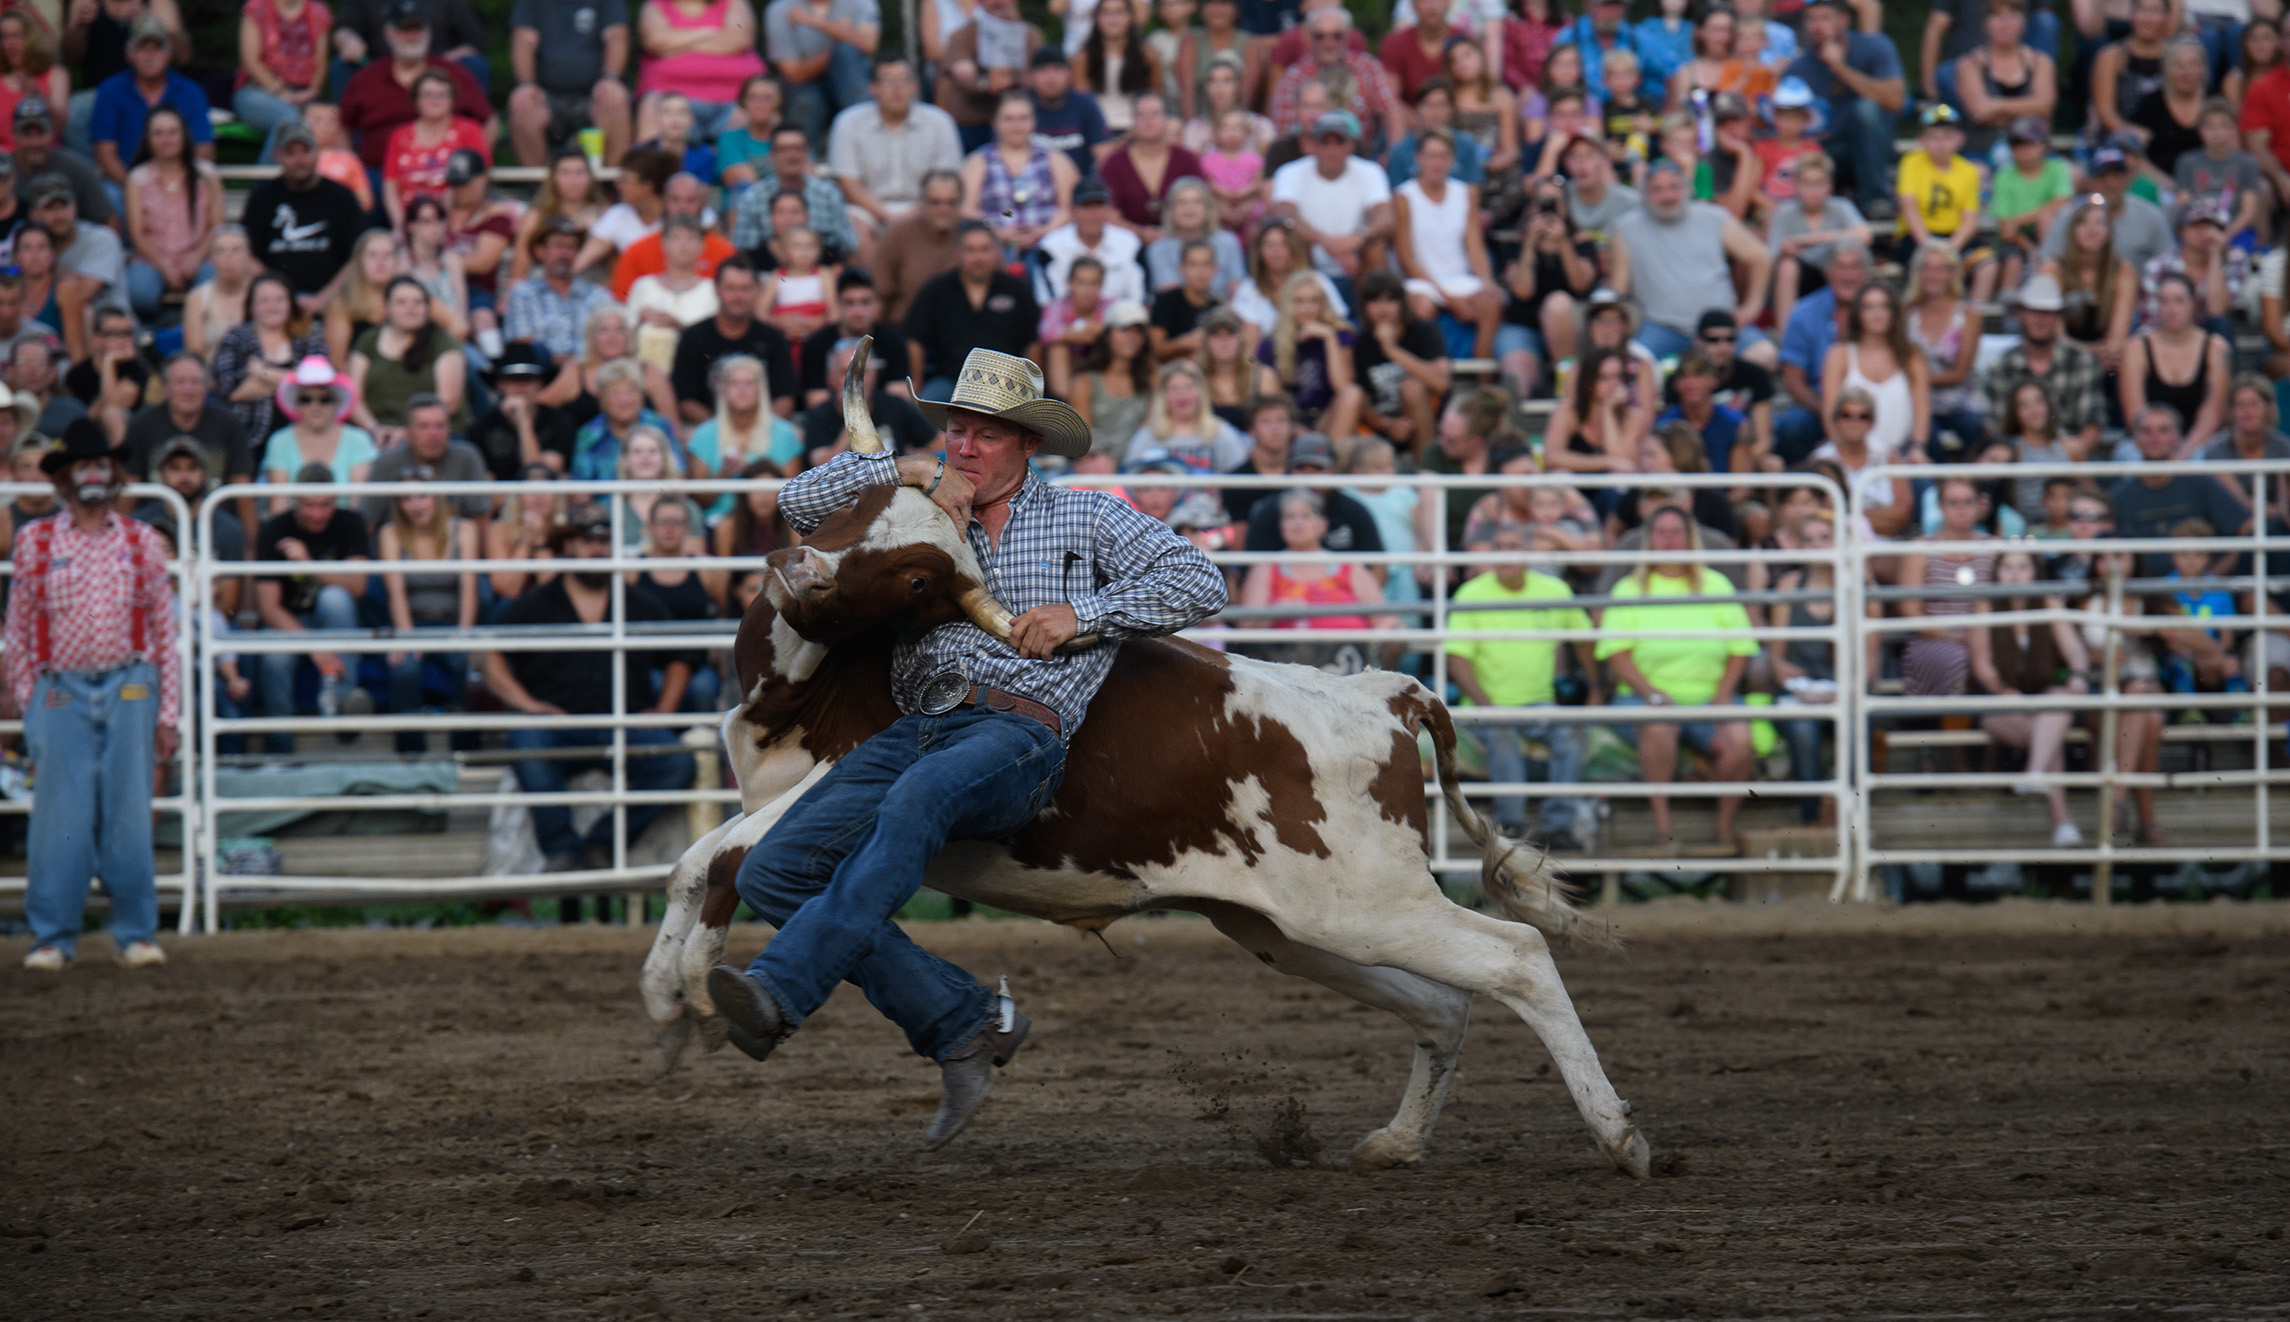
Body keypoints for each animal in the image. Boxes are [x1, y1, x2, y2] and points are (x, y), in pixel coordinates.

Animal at [639, 351, 1651, 1178]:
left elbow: (730, 862)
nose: (800, 569)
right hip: (1289, 926)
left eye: (918, 578)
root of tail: (1387, 697)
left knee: (1516, 957)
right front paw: (667, 1003)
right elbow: (695, 864)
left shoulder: (830, 790)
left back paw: (1620, 1137)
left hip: (1370, 901)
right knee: (1444, 1006)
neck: (804, 692)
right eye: (859, 509)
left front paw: (694, 986)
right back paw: (1399, 1142)